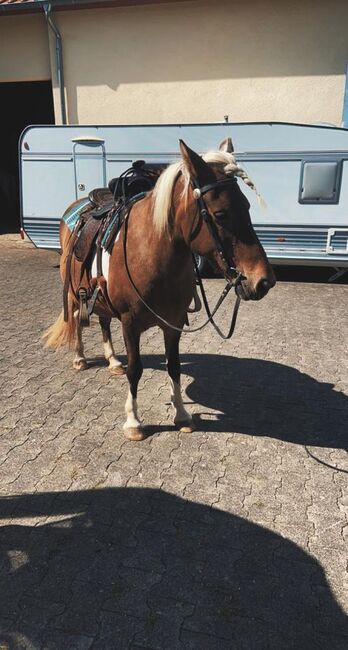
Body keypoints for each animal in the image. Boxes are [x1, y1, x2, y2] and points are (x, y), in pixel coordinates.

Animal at [43, 139, 274, 438]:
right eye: (221, 213)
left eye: (247, 206)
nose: (264, 280)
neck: (151, 250)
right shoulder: (130, 323)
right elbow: (136, 369)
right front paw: (133, 422)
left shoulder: (173, 323)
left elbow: (173, 367)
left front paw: (182, 415)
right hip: (73, 291)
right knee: (74, 319)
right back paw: (80, 358)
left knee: (104, 321)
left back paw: (112, 361)